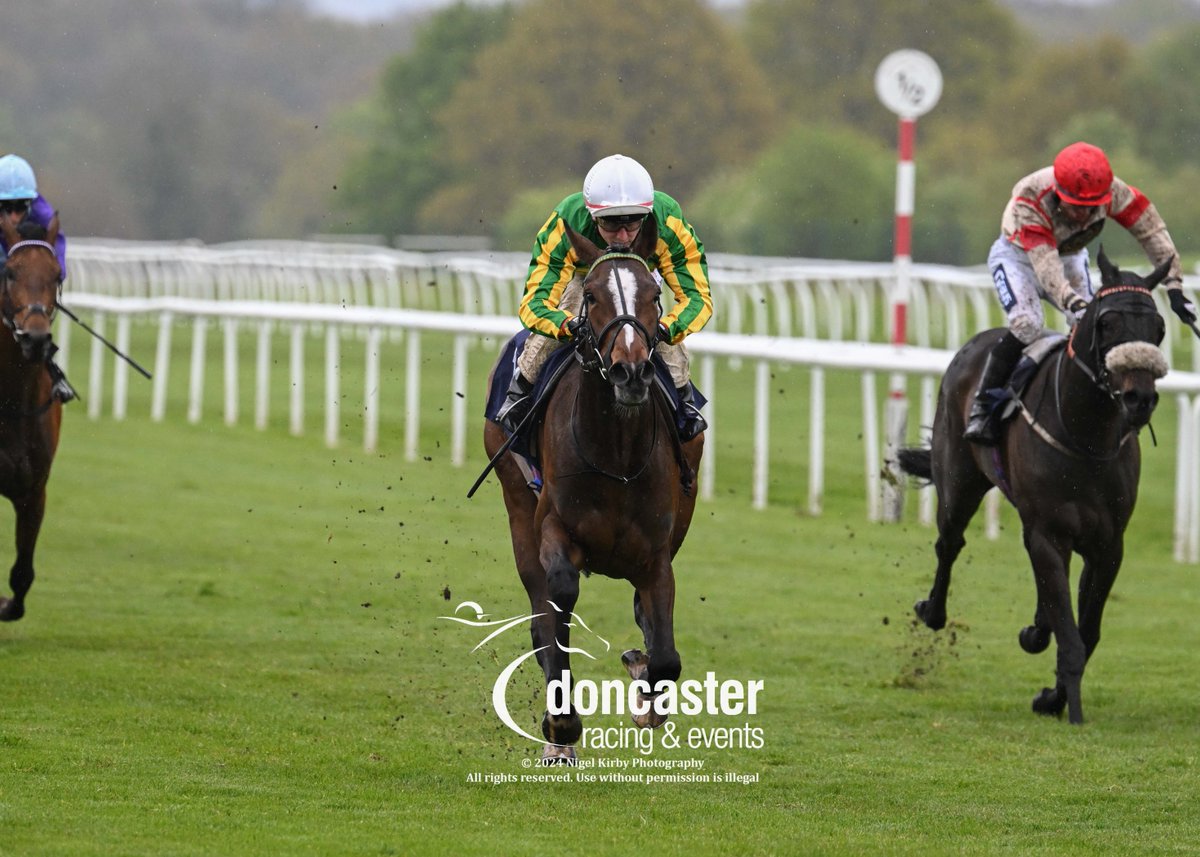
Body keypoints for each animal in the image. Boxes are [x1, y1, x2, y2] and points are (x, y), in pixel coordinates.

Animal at [480, 214, 700, 763]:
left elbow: (665, 654)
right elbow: (557, 603)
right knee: (541, 615)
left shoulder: (657, 556)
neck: (616, 454)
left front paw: (647, 696)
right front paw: (561, 725)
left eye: (654, 295)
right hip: (517, 505)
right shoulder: (555, 530)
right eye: (594, 295)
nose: (631, 370)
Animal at [902, 247, 1171, 720]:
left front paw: (1053, 695)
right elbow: (1070, 633)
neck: (1085, 435)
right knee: (949, 543)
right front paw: (1067, 705)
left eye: (1158, 328)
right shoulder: (1048, 532)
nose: (1140, 398)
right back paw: (932, 610)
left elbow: (1086, 631)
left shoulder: (1108, 544)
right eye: (1107, 323)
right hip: (959, 482)